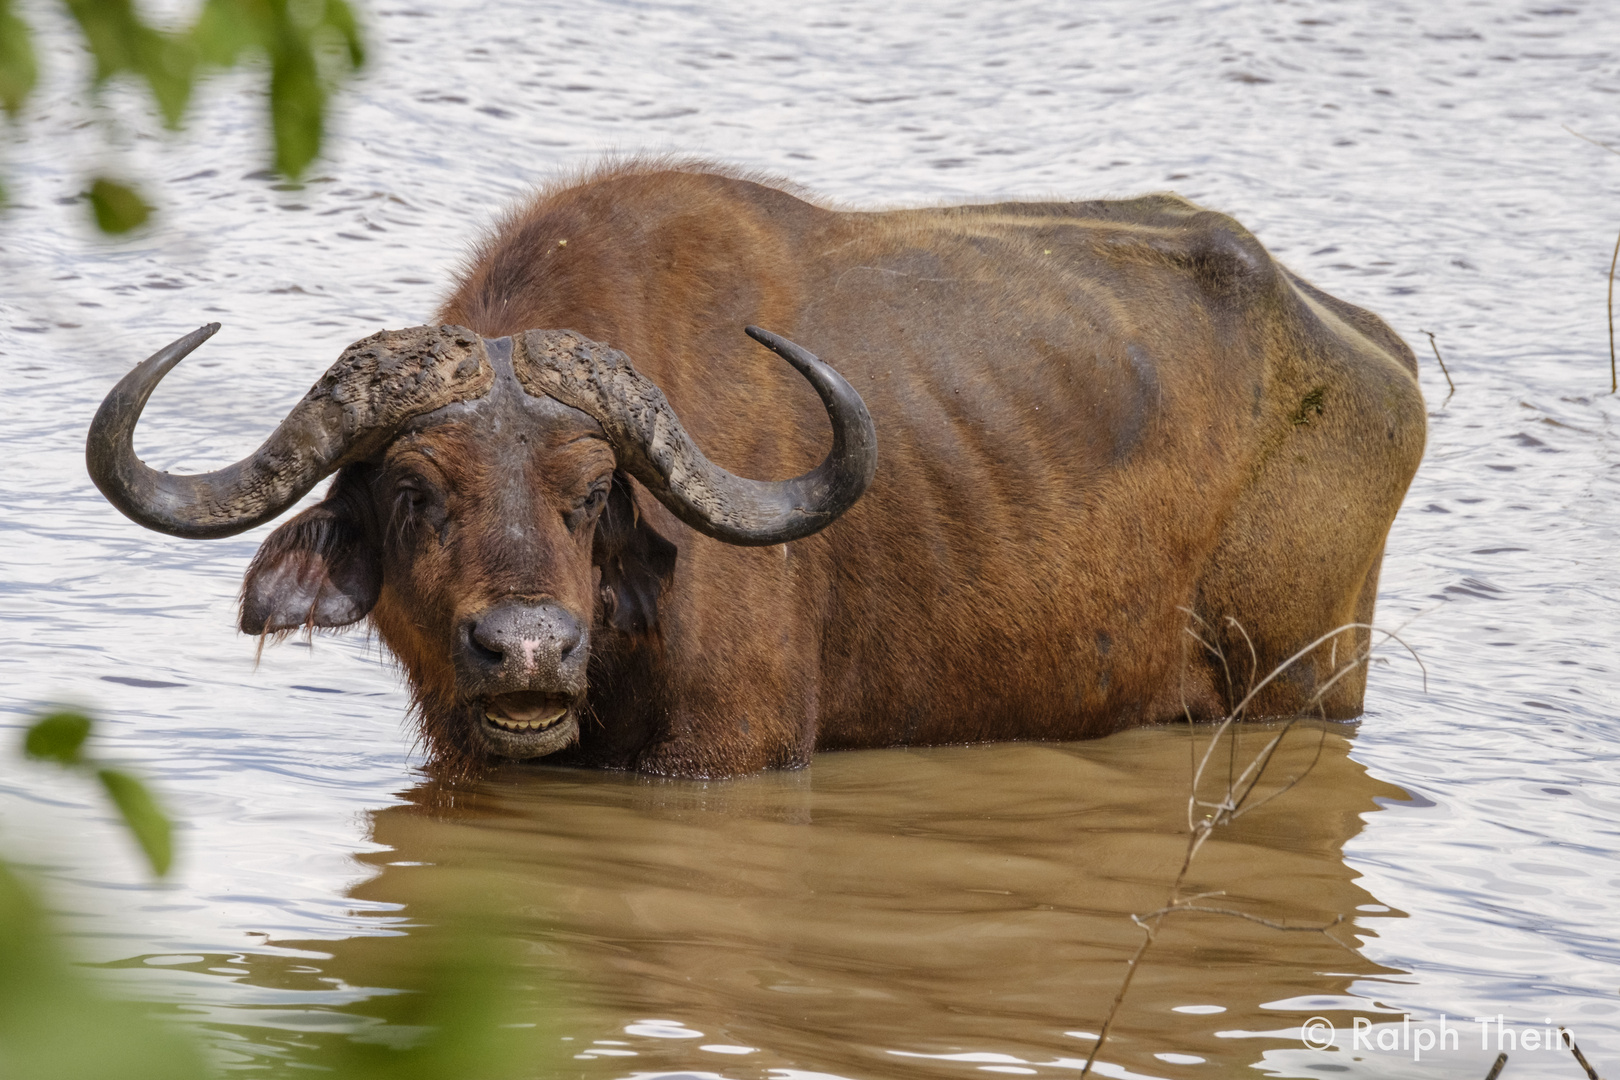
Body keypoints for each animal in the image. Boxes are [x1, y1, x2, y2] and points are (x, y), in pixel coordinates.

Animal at [91, 165, 1432, 777]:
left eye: (592, 495)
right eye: (417, 492)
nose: (527, 651)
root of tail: (1379, 358)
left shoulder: (730, 750)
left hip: (1301, 684)